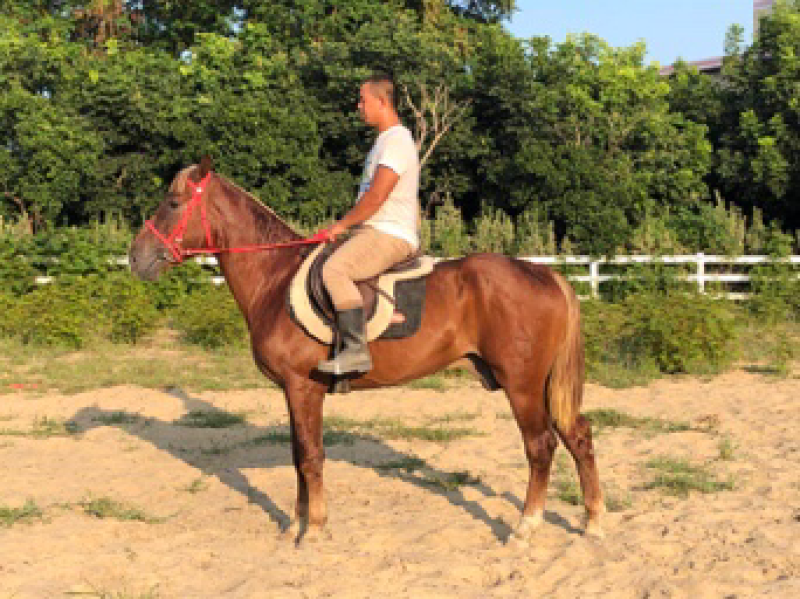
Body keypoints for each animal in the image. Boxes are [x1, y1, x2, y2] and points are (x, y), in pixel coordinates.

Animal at [128, 157, 604, 544]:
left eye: (173, 203)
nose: (135, 258)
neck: (274, 279)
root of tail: (545, 274)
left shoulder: (303, 388)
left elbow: (310, 456)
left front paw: (315, 529)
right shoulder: (293, 392)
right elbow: (297, 455)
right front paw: (296, 524)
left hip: (521, 384)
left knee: (540, 445)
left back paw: (525, 527)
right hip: (541, 385)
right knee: (577, 434)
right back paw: (592, 521)